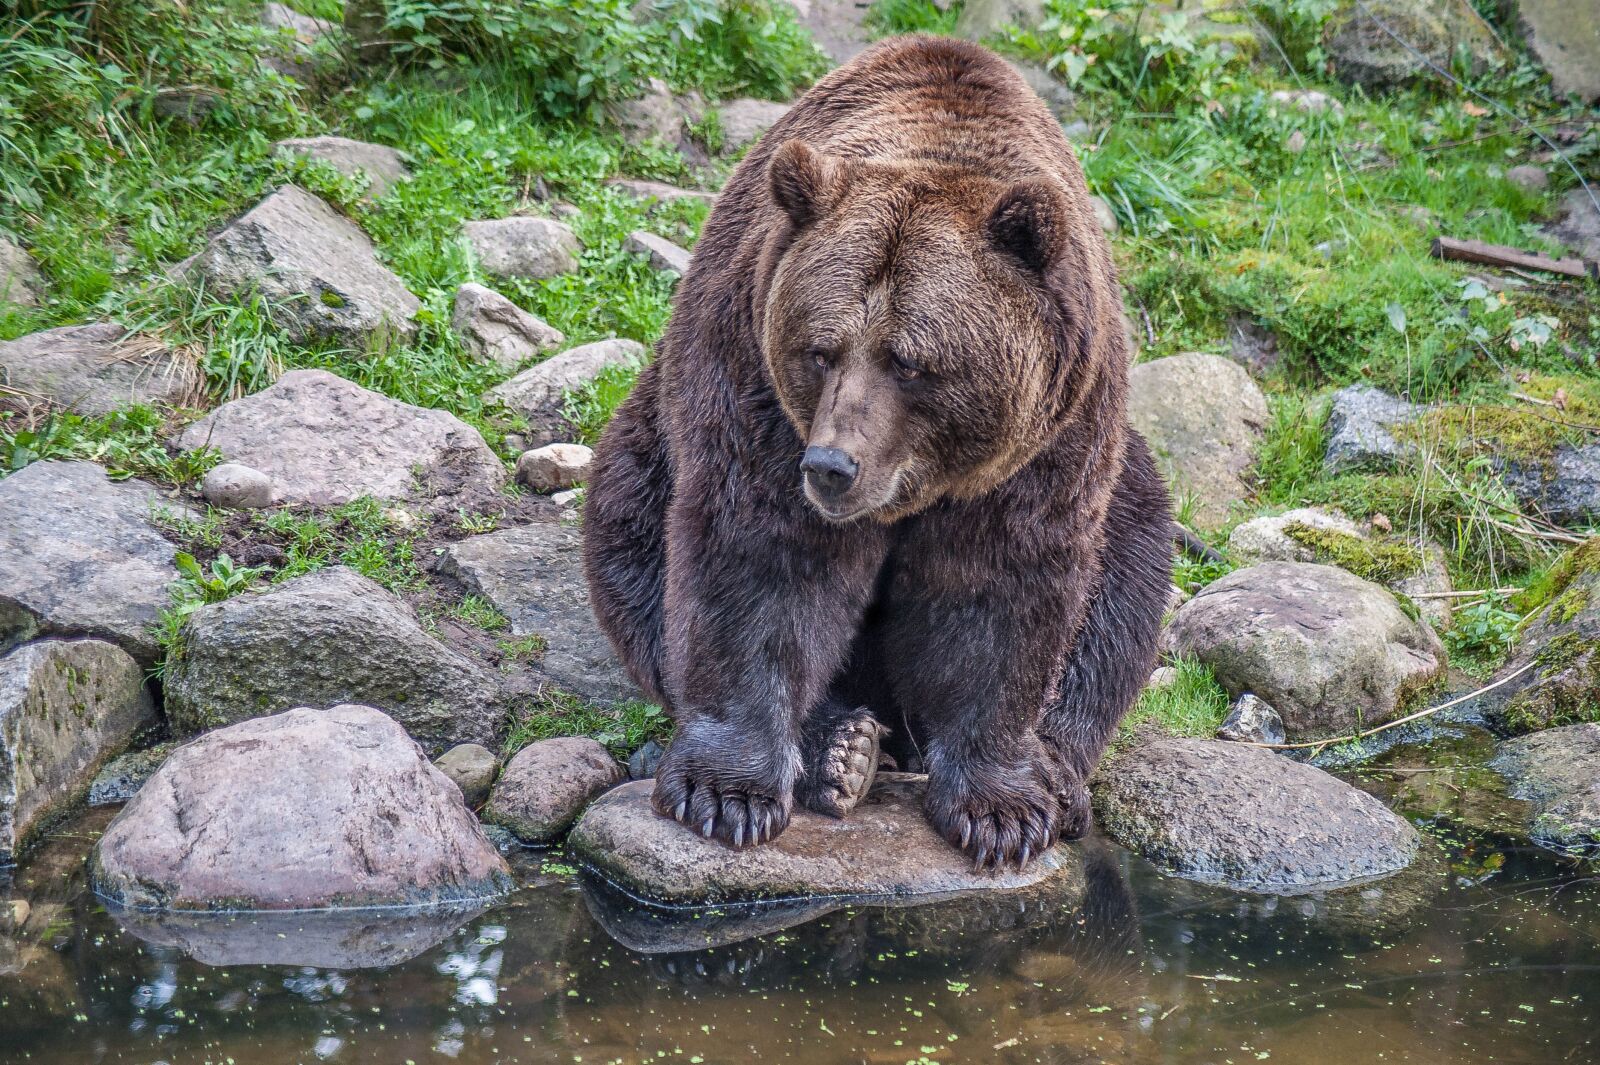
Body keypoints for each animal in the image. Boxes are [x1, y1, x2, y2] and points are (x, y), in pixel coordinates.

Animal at [583, 35, 1173, 870]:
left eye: (911, 361)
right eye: (821, 349)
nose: (833, 466)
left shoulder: (1048, 443)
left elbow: (999, 587)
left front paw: (1000, 809)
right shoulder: (754, 384)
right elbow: (761, 559)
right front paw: (727, 792)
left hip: (1121, 472)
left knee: (1128, 569)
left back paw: (1054, 772)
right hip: (650, 434)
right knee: (628, 528)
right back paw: (844, 748)